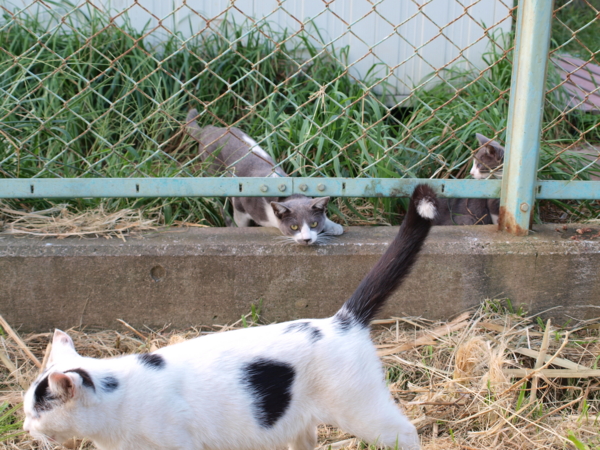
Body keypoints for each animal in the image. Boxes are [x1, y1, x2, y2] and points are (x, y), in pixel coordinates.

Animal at [23, 184, 438, 450]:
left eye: (35, 413)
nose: (26, 427)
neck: (115, 404)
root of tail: (340, 321)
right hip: (296, 425)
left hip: (363, 411)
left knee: (406, 434)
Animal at [186, 109, 344, 245]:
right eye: (294, 227)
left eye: (314, 224)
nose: (307, 239)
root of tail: (208, 129)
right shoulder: (241, 203)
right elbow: (240, 221)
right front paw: (237, 230)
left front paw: (334, 225)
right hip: (213, 172)